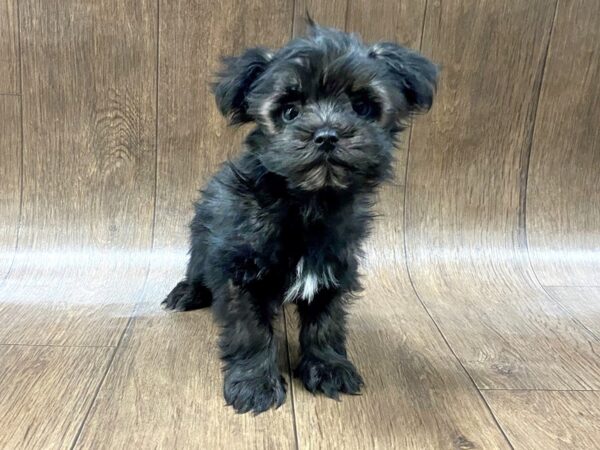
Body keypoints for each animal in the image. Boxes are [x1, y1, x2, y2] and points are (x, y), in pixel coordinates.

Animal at [162, 22, 438, 414]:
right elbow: (251, 331)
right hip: (202, 239)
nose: (327, 135)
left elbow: (326, 323)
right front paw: (255, 383)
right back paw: (186, 293)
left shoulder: (336, 268)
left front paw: (328, 367)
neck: (307, 203)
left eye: (362, 106)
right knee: (196, 267)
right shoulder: (239, 272)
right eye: (289, 111)